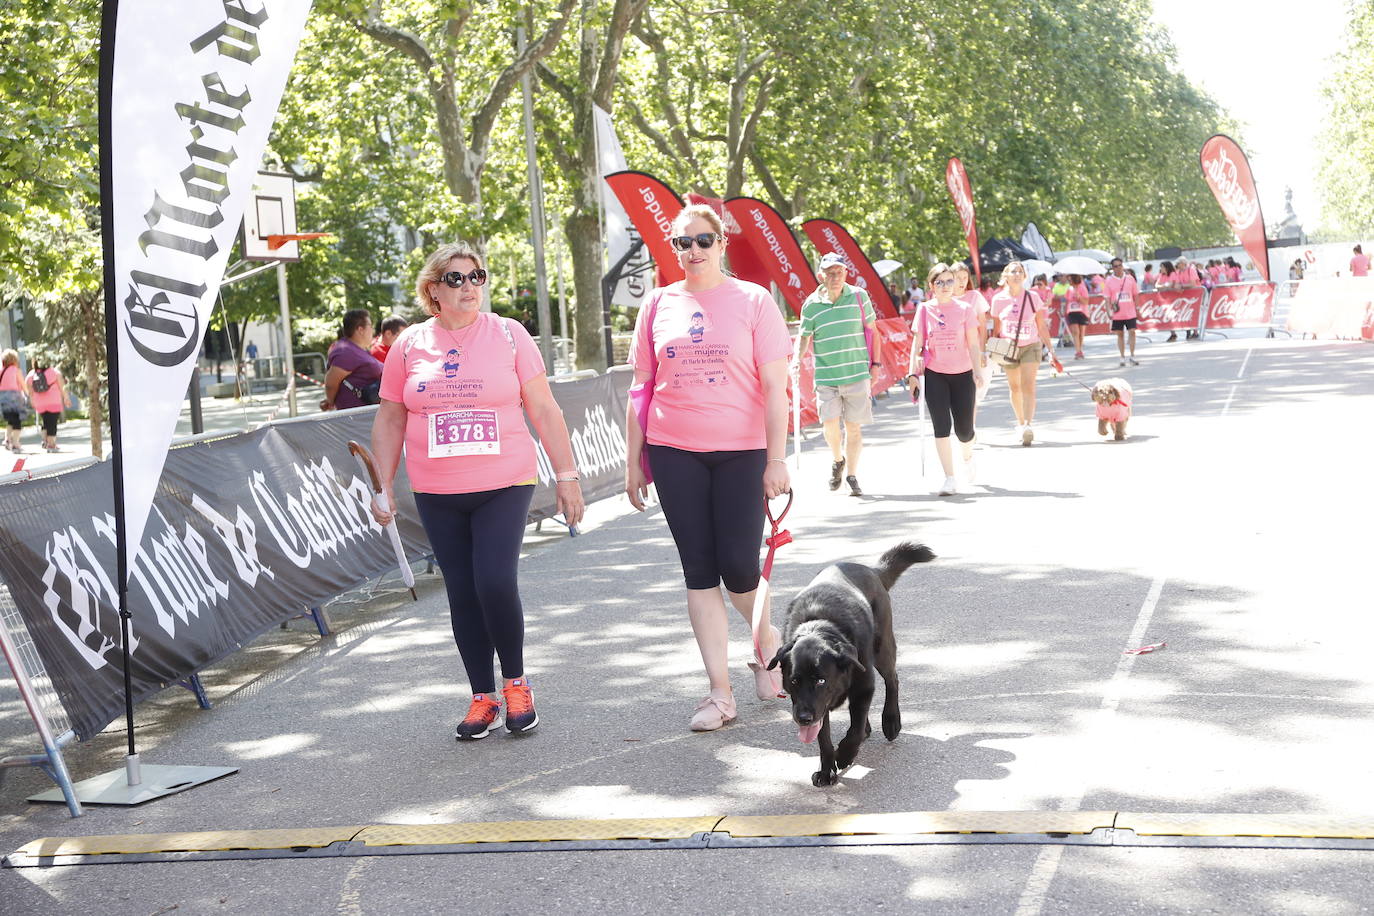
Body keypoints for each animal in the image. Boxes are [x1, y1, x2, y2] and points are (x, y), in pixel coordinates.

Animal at [774, 541, 934, 785]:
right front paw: (826, 770)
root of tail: (871, 570)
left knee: (892, 680)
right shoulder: (820, 708)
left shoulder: (864, 687)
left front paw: (845, 754)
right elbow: (824, 738)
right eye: (793, 681)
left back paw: (891, 721)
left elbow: (854, 731)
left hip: (882, 650)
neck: (819, 626)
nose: (803, 719)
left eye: (821, 680)